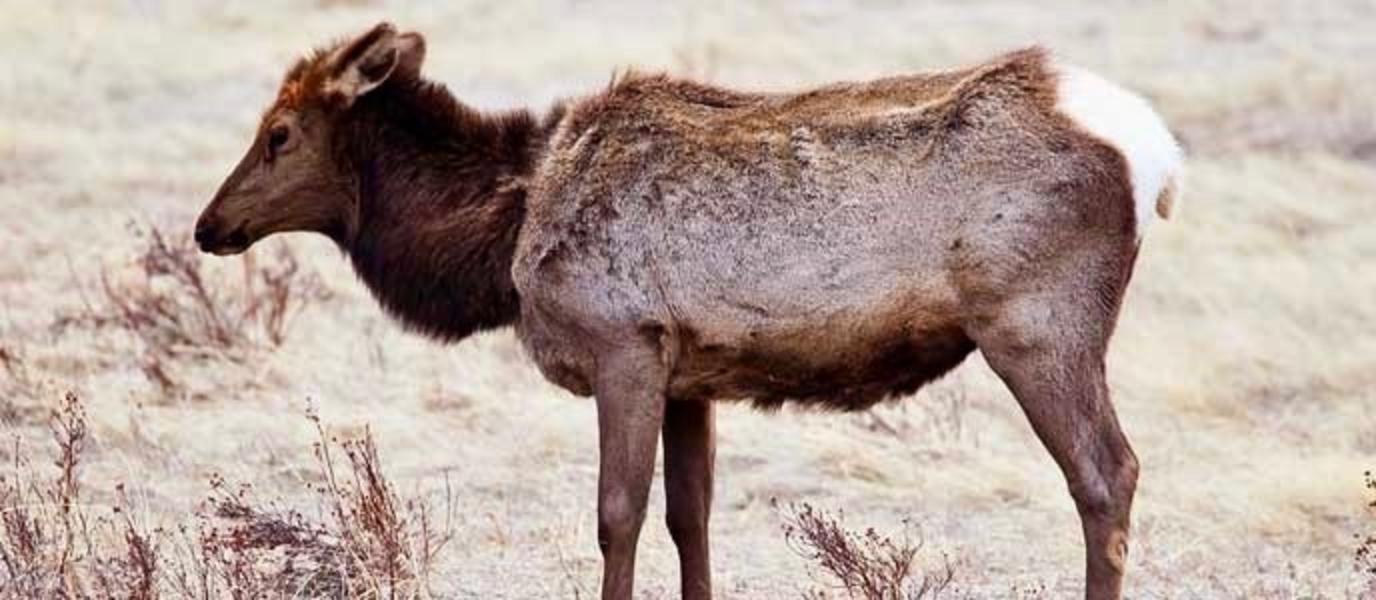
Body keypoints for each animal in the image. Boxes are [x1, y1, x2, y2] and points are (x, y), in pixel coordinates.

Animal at [194, 21, 1183, 597]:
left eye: (279, 134)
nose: (210, 225)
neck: (503, 237)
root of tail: (1158, 155)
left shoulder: (623, 345)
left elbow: (616, 514)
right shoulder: (690, 375)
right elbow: (690, 517)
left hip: (1036, 324)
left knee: (1109, 474)